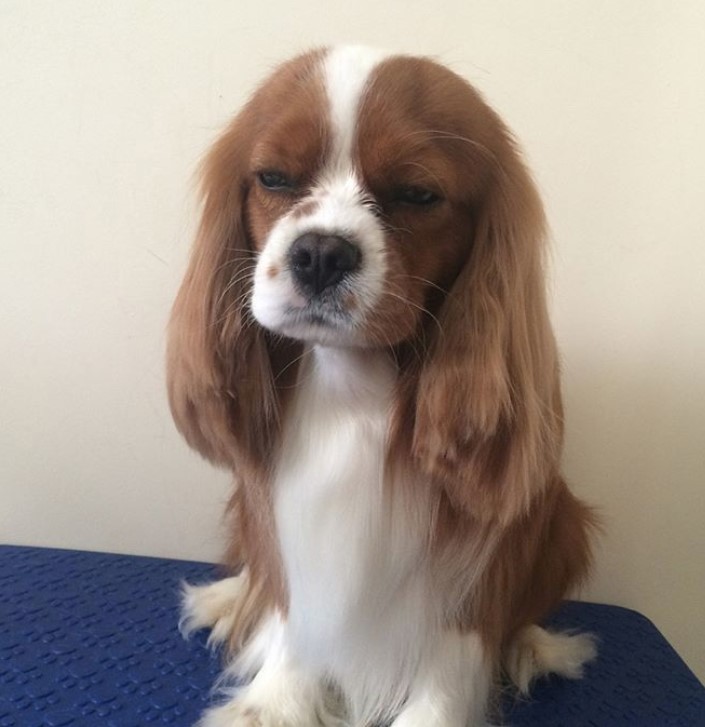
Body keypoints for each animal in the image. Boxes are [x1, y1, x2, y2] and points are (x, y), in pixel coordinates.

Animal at [168, 45, 596, 727]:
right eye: (274, 179)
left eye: (417, 194)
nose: (320, 252)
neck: (353, 384)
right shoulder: (289, 519)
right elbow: (293, 611)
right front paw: (275, 701)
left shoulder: (473, 559)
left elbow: (454, 650)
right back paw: (232, 600)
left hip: (563, 517)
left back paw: (532, 645)